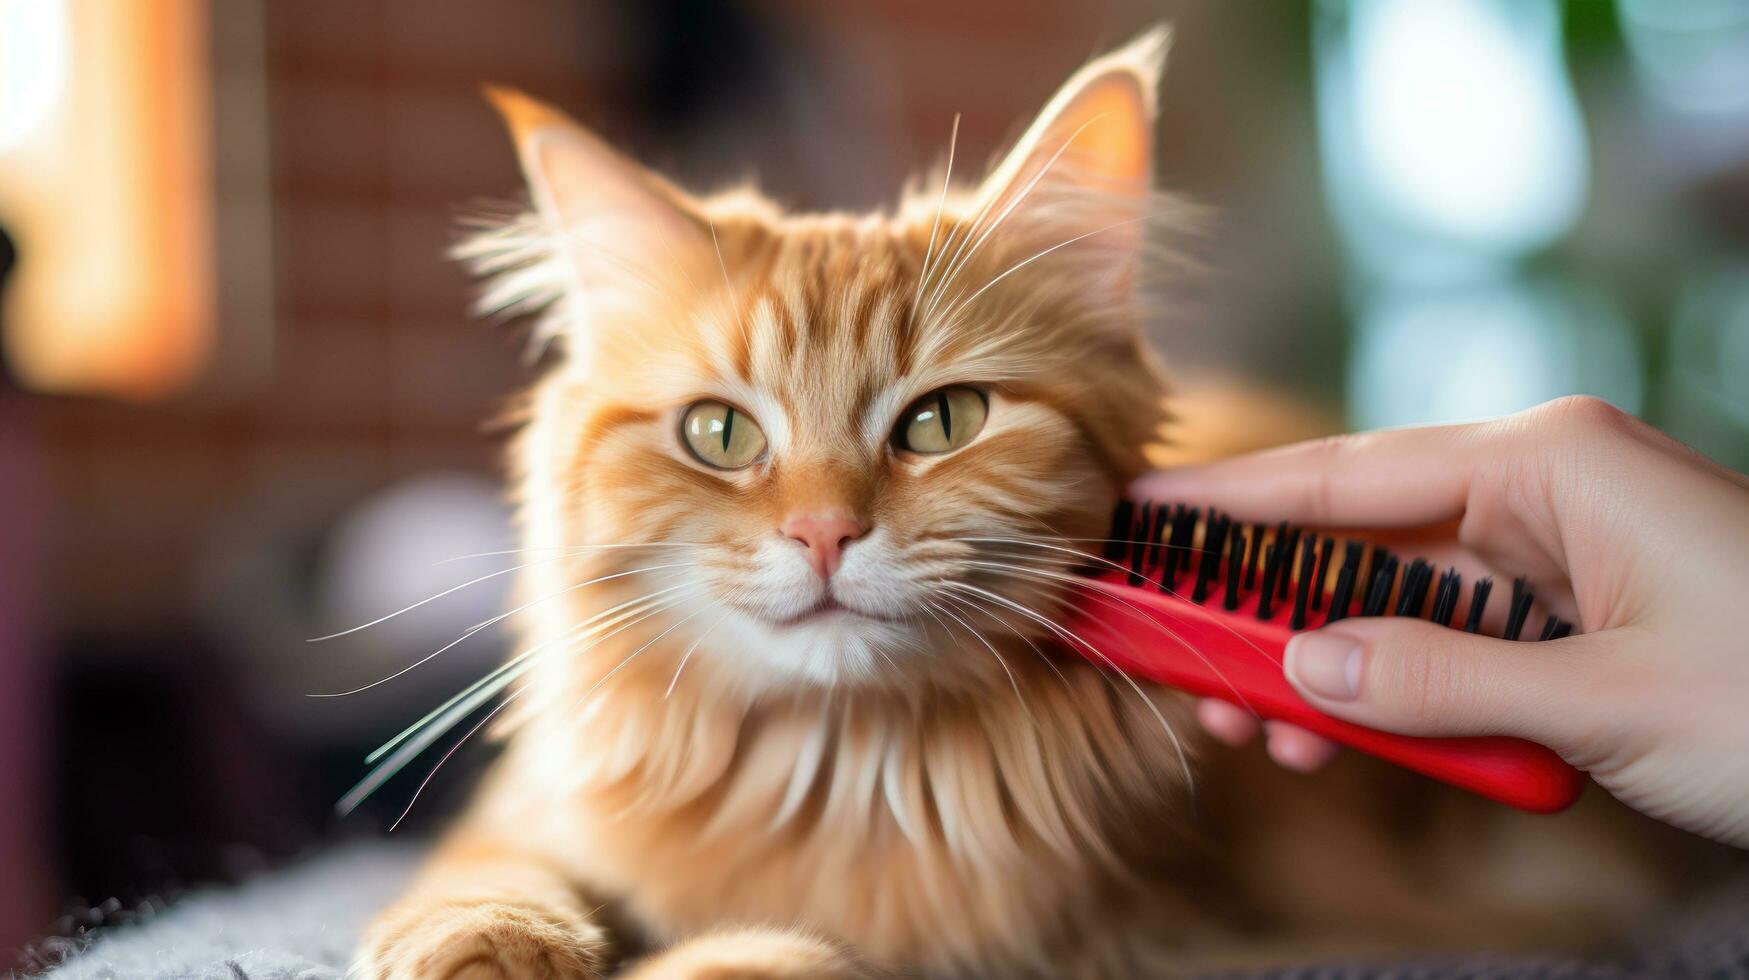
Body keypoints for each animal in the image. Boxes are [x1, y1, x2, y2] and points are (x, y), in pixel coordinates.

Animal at [358, 30, 1721, 980]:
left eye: (941, 422)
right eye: (721, 434)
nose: (823, 532)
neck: (839, 774)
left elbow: (771, 953)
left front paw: (745, 946)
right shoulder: (523, 810)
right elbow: (479, 873)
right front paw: (491, 940)